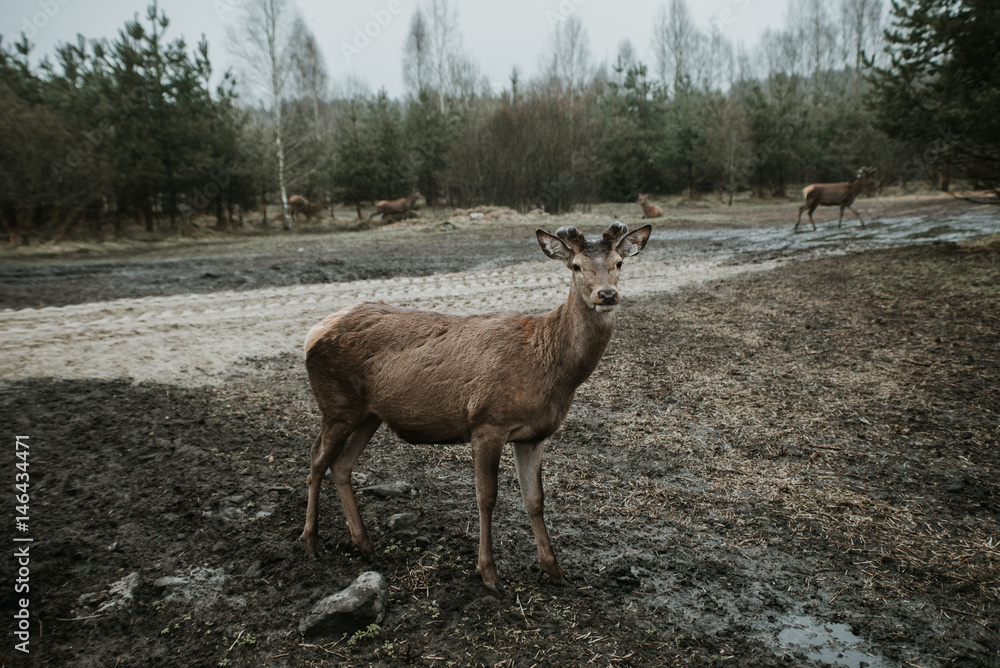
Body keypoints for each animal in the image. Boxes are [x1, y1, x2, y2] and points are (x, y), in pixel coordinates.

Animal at [300, 221, 652, 590]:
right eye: (576, 266)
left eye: (618, 263)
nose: (607, 295)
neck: (551, 369)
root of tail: (312, 333)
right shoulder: (487, 421)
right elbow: (487, 496)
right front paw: (488, 572)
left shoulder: (534, 435)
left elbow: (535, 500)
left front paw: (554, 569)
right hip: (336, 406)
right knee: (316, 459)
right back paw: (311, 541)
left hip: (368, 414)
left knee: (341, 464)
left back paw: (364, 543)